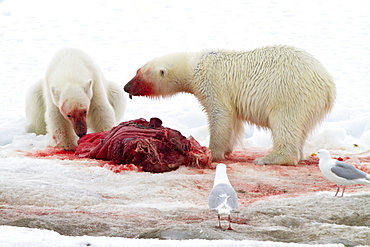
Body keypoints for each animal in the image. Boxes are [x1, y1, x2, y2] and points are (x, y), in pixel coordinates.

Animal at [124, 45, 336, 166]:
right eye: (137, 70)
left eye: (139, 75)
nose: (126, 87)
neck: (195, 65)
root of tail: (328, 86)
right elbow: (234, 120)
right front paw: (226, 150)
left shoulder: (212, 82)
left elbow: (220, 114)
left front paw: (213, 152)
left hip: (290, 93)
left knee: (285, 122)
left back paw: (270, 158)